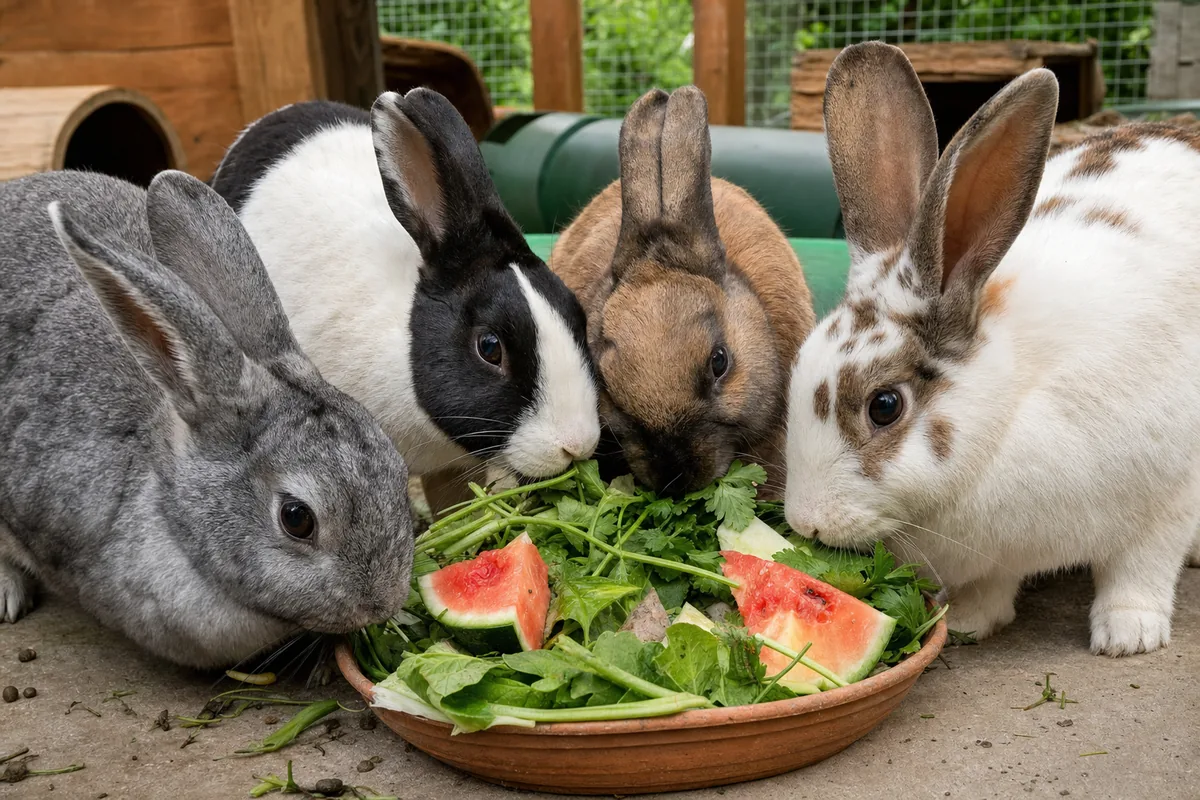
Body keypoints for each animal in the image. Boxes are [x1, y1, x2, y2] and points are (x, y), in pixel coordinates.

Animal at [783, 41, 1200, 656]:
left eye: (884, 406)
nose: (806, 523)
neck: (1011, 404)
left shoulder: (1168, 494)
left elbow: (1140, 568)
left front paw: (1127, 635)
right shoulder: (997, 555)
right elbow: (993, 586)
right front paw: (968, 623)